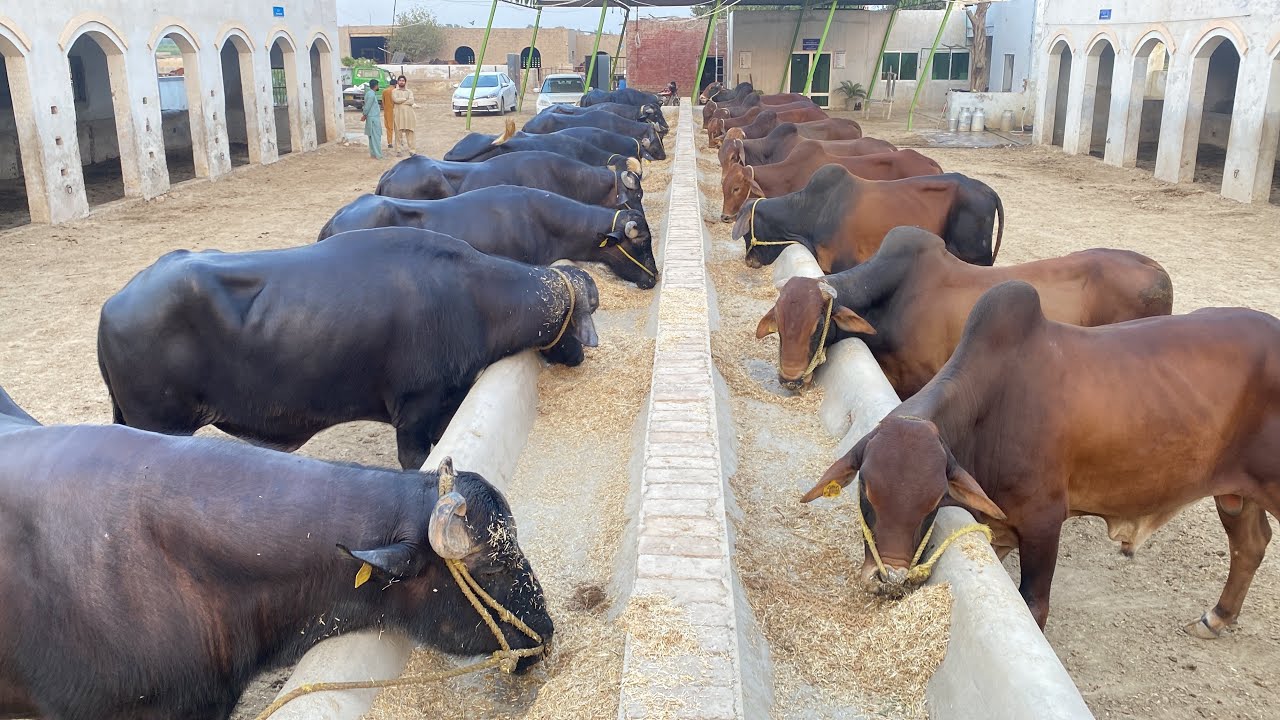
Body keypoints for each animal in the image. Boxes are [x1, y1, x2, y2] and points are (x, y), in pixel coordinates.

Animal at [98, 229, 603, 470]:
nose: (581, 354)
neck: (472, 298)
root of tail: (112, 307)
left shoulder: (448, 403)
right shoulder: (414, 413)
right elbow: (416, 461)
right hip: (160, 423)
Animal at [802, 280, 1280, 637]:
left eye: (933, 501)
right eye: (866, 493)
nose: (890, 579)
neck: (991, 408)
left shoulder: (1044, 524)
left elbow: (1034, 606)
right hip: (1235, 493)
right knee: (1251, 542)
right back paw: (1217, 617)